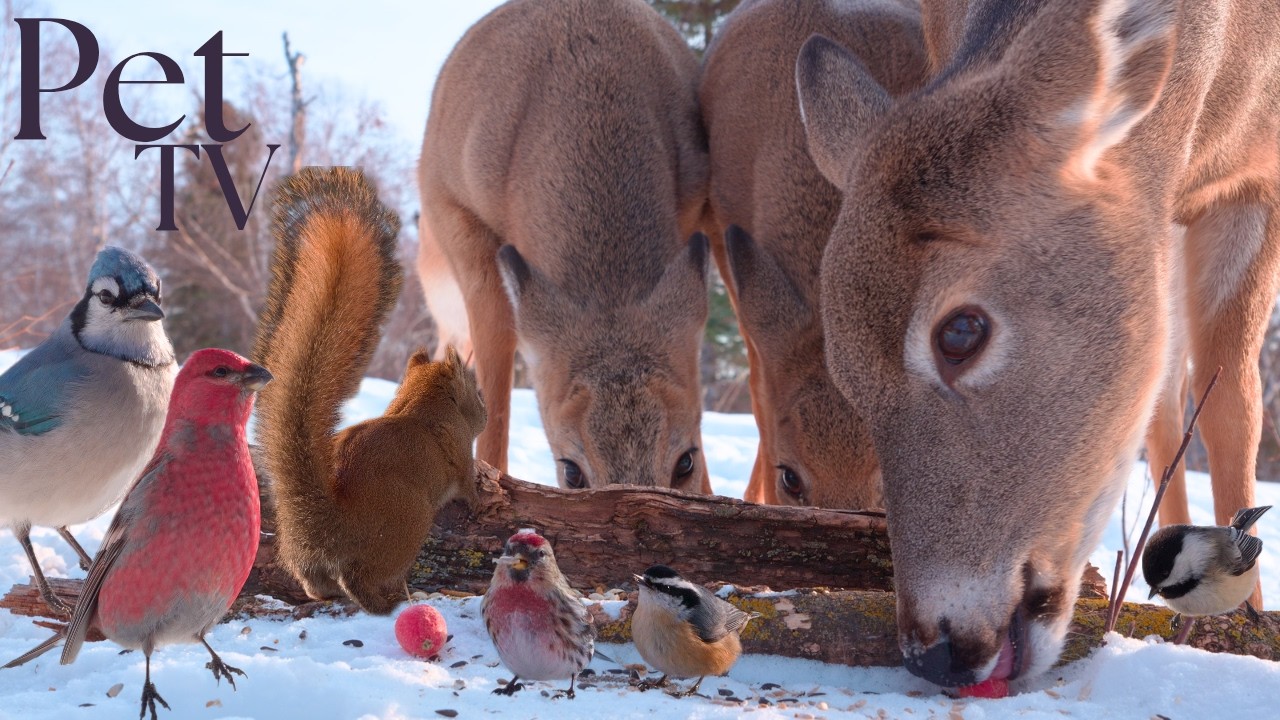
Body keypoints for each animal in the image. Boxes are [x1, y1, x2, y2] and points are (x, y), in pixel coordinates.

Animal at [796, 0, 1280, 689]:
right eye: (845, 372)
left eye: (961, 332)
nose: (937, 651)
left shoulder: (1255, 182)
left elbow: (1232, 406)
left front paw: (1244, 619)